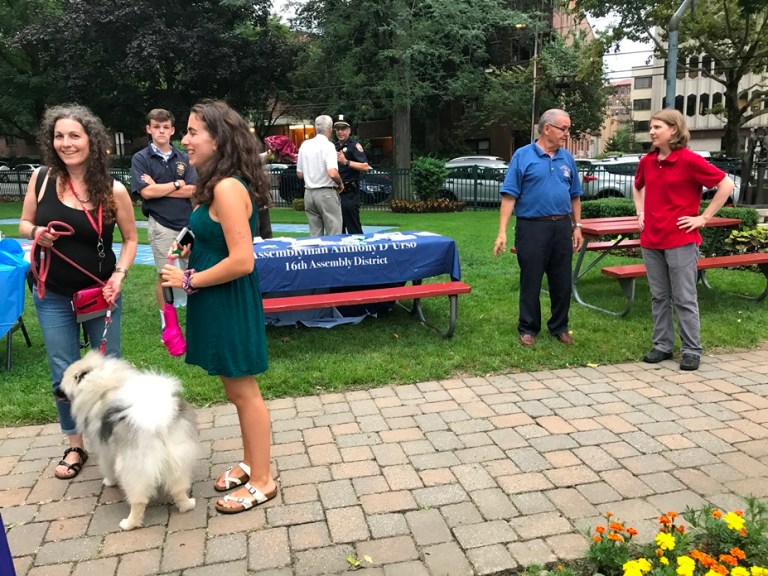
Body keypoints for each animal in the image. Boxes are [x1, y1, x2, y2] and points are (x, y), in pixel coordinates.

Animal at [60, 348, 200, 528]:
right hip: (178, 457)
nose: (54, 390)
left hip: (132, 468)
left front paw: (109, 481)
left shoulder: (105, 449)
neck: (103, 386)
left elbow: (107, 467)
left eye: (62, 383)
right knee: (178, 488)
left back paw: (128, 523)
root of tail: (158, 420)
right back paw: (187, 504)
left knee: (139, 501)